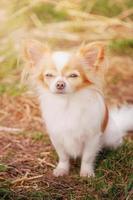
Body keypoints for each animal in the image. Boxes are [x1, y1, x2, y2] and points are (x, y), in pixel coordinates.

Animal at [22, 39, 133, 177]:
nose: (60, 84)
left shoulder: (92, 138)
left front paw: (86, 173)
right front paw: (62, 169)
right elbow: (63, 156)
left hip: (111, 138)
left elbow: (87, 157)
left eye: (73, 76)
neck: (67, 103)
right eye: (49, 75)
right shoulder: (57, 137)